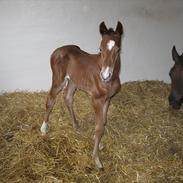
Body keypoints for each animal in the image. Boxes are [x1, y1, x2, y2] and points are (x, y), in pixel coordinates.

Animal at [40, 21, 123, 169]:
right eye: (100, 49)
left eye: (118, 50)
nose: (105, 75)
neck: (110, 80)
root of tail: (57, 50)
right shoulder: (96, 100)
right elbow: (99, 127)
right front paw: (97, 159)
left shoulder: (107, 99)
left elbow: (104, 122)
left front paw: (98, 143)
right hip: (59, 80)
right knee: (50, 99)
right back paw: (44, 128)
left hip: (73, 81)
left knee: (68, 98)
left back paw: (76, 127)